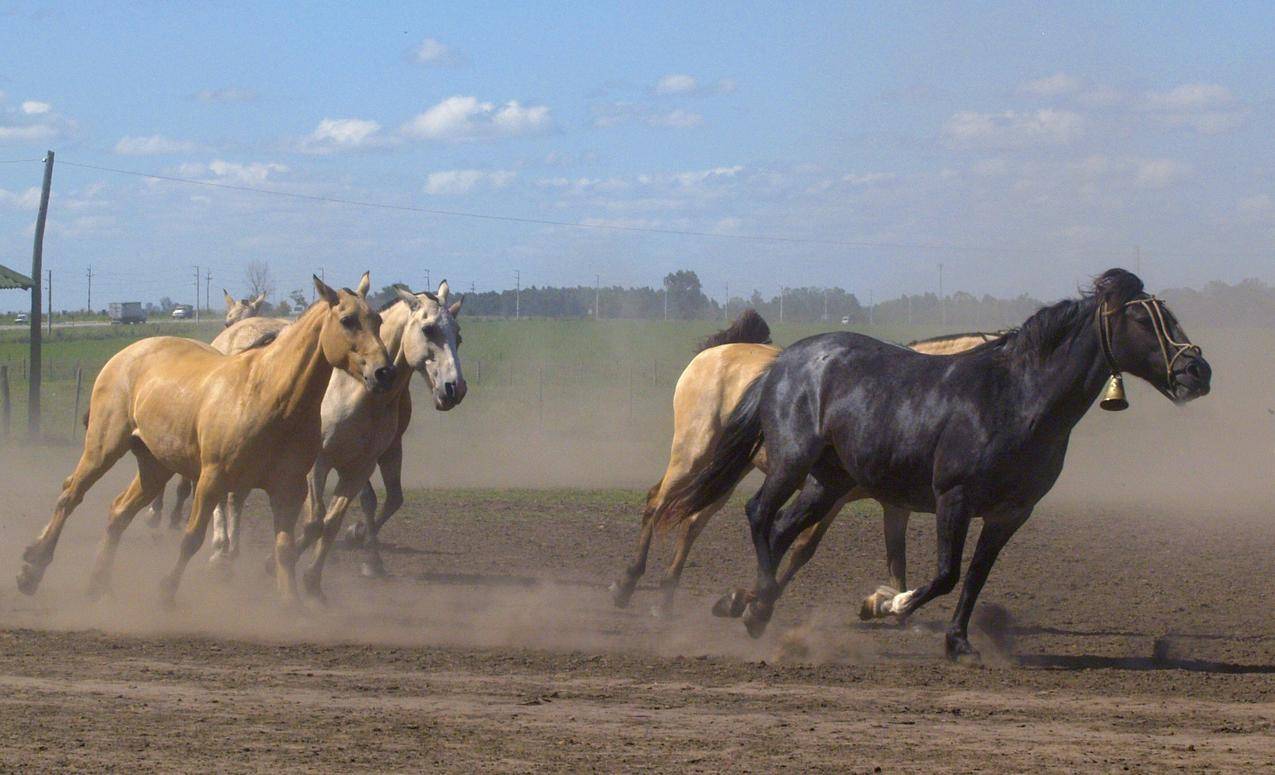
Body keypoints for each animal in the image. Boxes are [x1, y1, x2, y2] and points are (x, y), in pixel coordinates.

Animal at [16, 272, 392, 606]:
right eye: (347, 320)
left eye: (377, 319)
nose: (383, 372)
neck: (270, 396)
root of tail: (127, 353)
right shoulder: (213, 480)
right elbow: (192, 538)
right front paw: (167, 590)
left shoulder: (289, 489)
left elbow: (284, 548)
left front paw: (292, 604)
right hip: (104, 447)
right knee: (71, 495)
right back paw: (32, 569)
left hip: (154, 467)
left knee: (118, 512)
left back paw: (98, 585)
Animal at [609, 308, 1004, 616]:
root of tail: (714, 352)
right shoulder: (832, 493)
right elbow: (801, 549)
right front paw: (754, 599)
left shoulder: (894, 505)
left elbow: (896, 560)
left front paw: (891, 606)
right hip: (693, 453)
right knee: (658, 502)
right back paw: (627, 582)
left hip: (726, 471)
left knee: (691, 521)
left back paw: (666, 596)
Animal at [663, 268, 1208, 657]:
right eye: (1144, 320)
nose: (1197, 370)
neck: (1015, 399)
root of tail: (782, 362)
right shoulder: (954, 498)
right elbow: (944, 573)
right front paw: (886, 603)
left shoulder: (1010, 513)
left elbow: (975, 576)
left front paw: (959, 642)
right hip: (792, 461)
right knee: (758, 514)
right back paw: (752, 608)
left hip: (827, 482)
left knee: (780, 531)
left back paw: (752, 603)